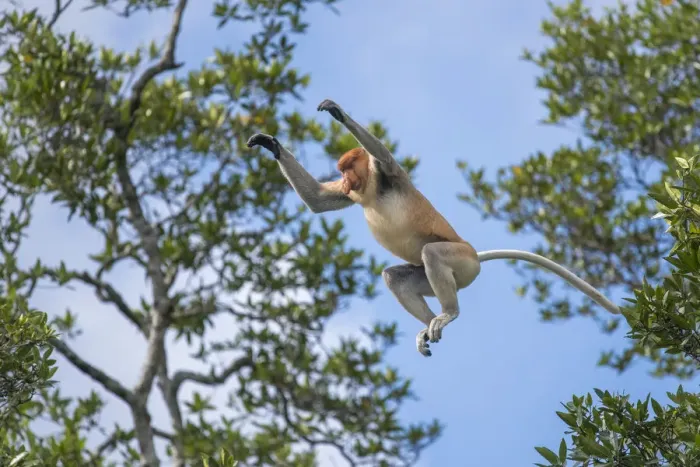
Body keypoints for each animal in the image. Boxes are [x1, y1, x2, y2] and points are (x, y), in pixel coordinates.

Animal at [246, 98, 620, 357]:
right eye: (342, 172)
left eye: (350, 166)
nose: (348, 181)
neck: (371, 188)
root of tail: (476, 255)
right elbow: (319, 201)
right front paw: (269, 143)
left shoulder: (388, 172)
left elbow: (382, 153)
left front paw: (337, 112)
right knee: (395, 277)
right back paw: (428, 328)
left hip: (462, 262)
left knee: (432, 253)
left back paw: (447, 314)